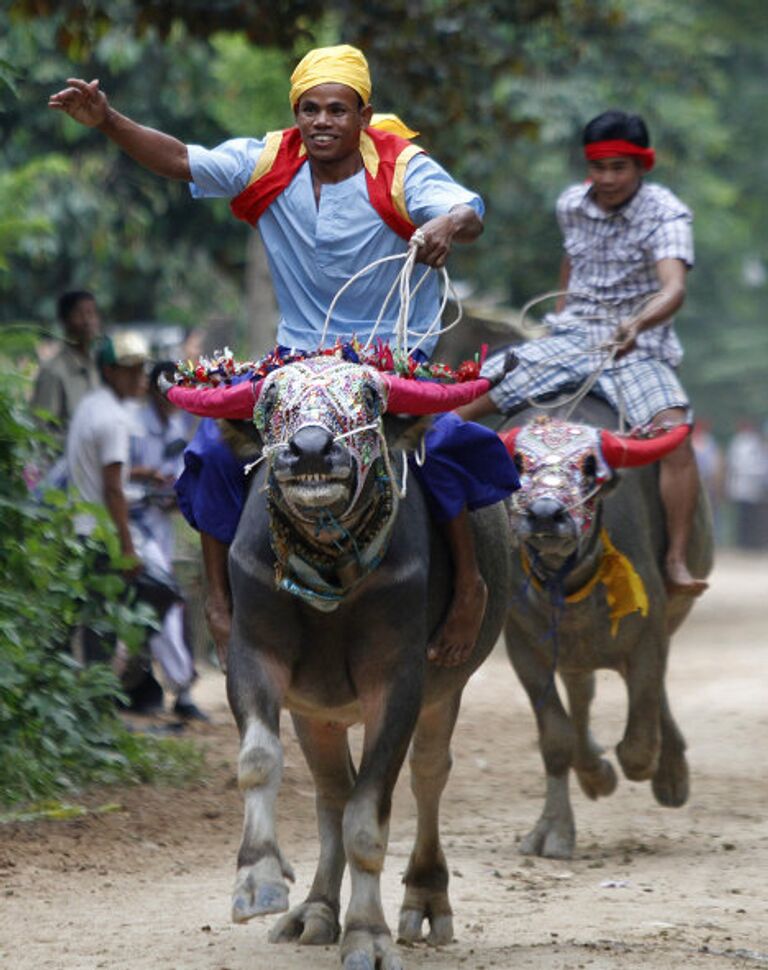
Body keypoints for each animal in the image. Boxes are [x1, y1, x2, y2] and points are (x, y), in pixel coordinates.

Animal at [170, 360, 510, 968]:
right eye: (271, 400)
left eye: (369, 398)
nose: (309, 450)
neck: (328, 565)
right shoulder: (252, 657)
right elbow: (259, 761)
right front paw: (257, 880)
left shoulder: (398, 685)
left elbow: (368, 818)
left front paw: (369, 934)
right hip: (317, 712)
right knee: (331, 793)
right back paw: (315, 911)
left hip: (446, 689)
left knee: (428, 774)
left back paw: (425, 901)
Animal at [500, 398, 712, 860]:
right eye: (519, 462)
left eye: (587, 465)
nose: (546, 514)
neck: (569, 586)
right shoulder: (523, 647)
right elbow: (556, 739)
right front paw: (555, 829)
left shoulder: (648, 634)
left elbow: (638, 744)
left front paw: (658, 768)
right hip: (571, 656)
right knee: (582, 697)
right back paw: (594, 769)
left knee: (650, 696)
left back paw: (670, 772)